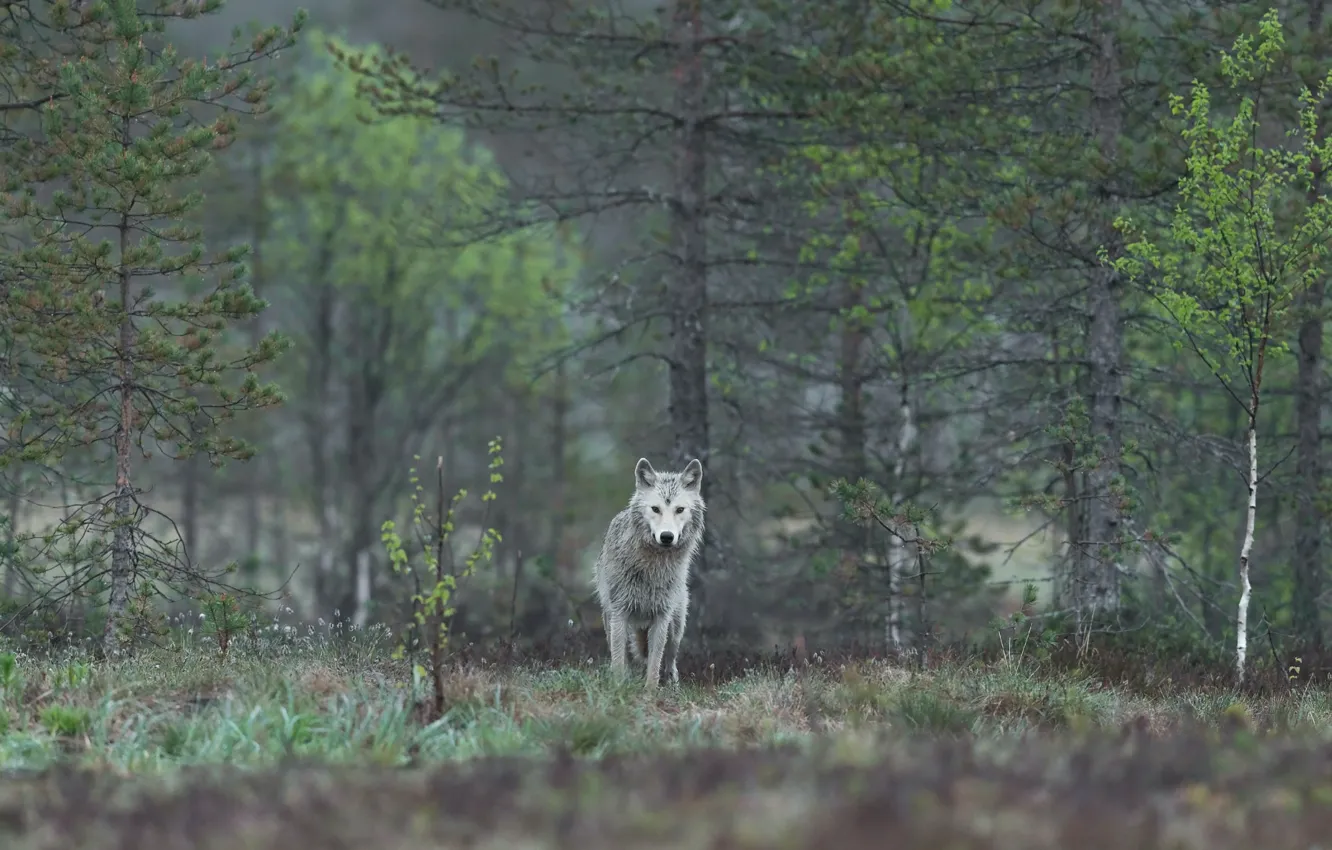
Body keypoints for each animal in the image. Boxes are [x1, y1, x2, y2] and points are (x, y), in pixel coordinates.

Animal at [593, 457, 705, 689]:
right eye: (655, 509)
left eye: (680, 509)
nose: (667, 536)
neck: (652, 568)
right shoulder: (620, 613)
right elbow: (619, 661)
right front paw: (618, 688)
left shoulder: (661, 617)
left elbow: (654, 664)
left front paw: (650, 692)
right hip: (610, 619)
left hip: (676, 628)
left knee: (670, 661)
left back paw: (672, 686)